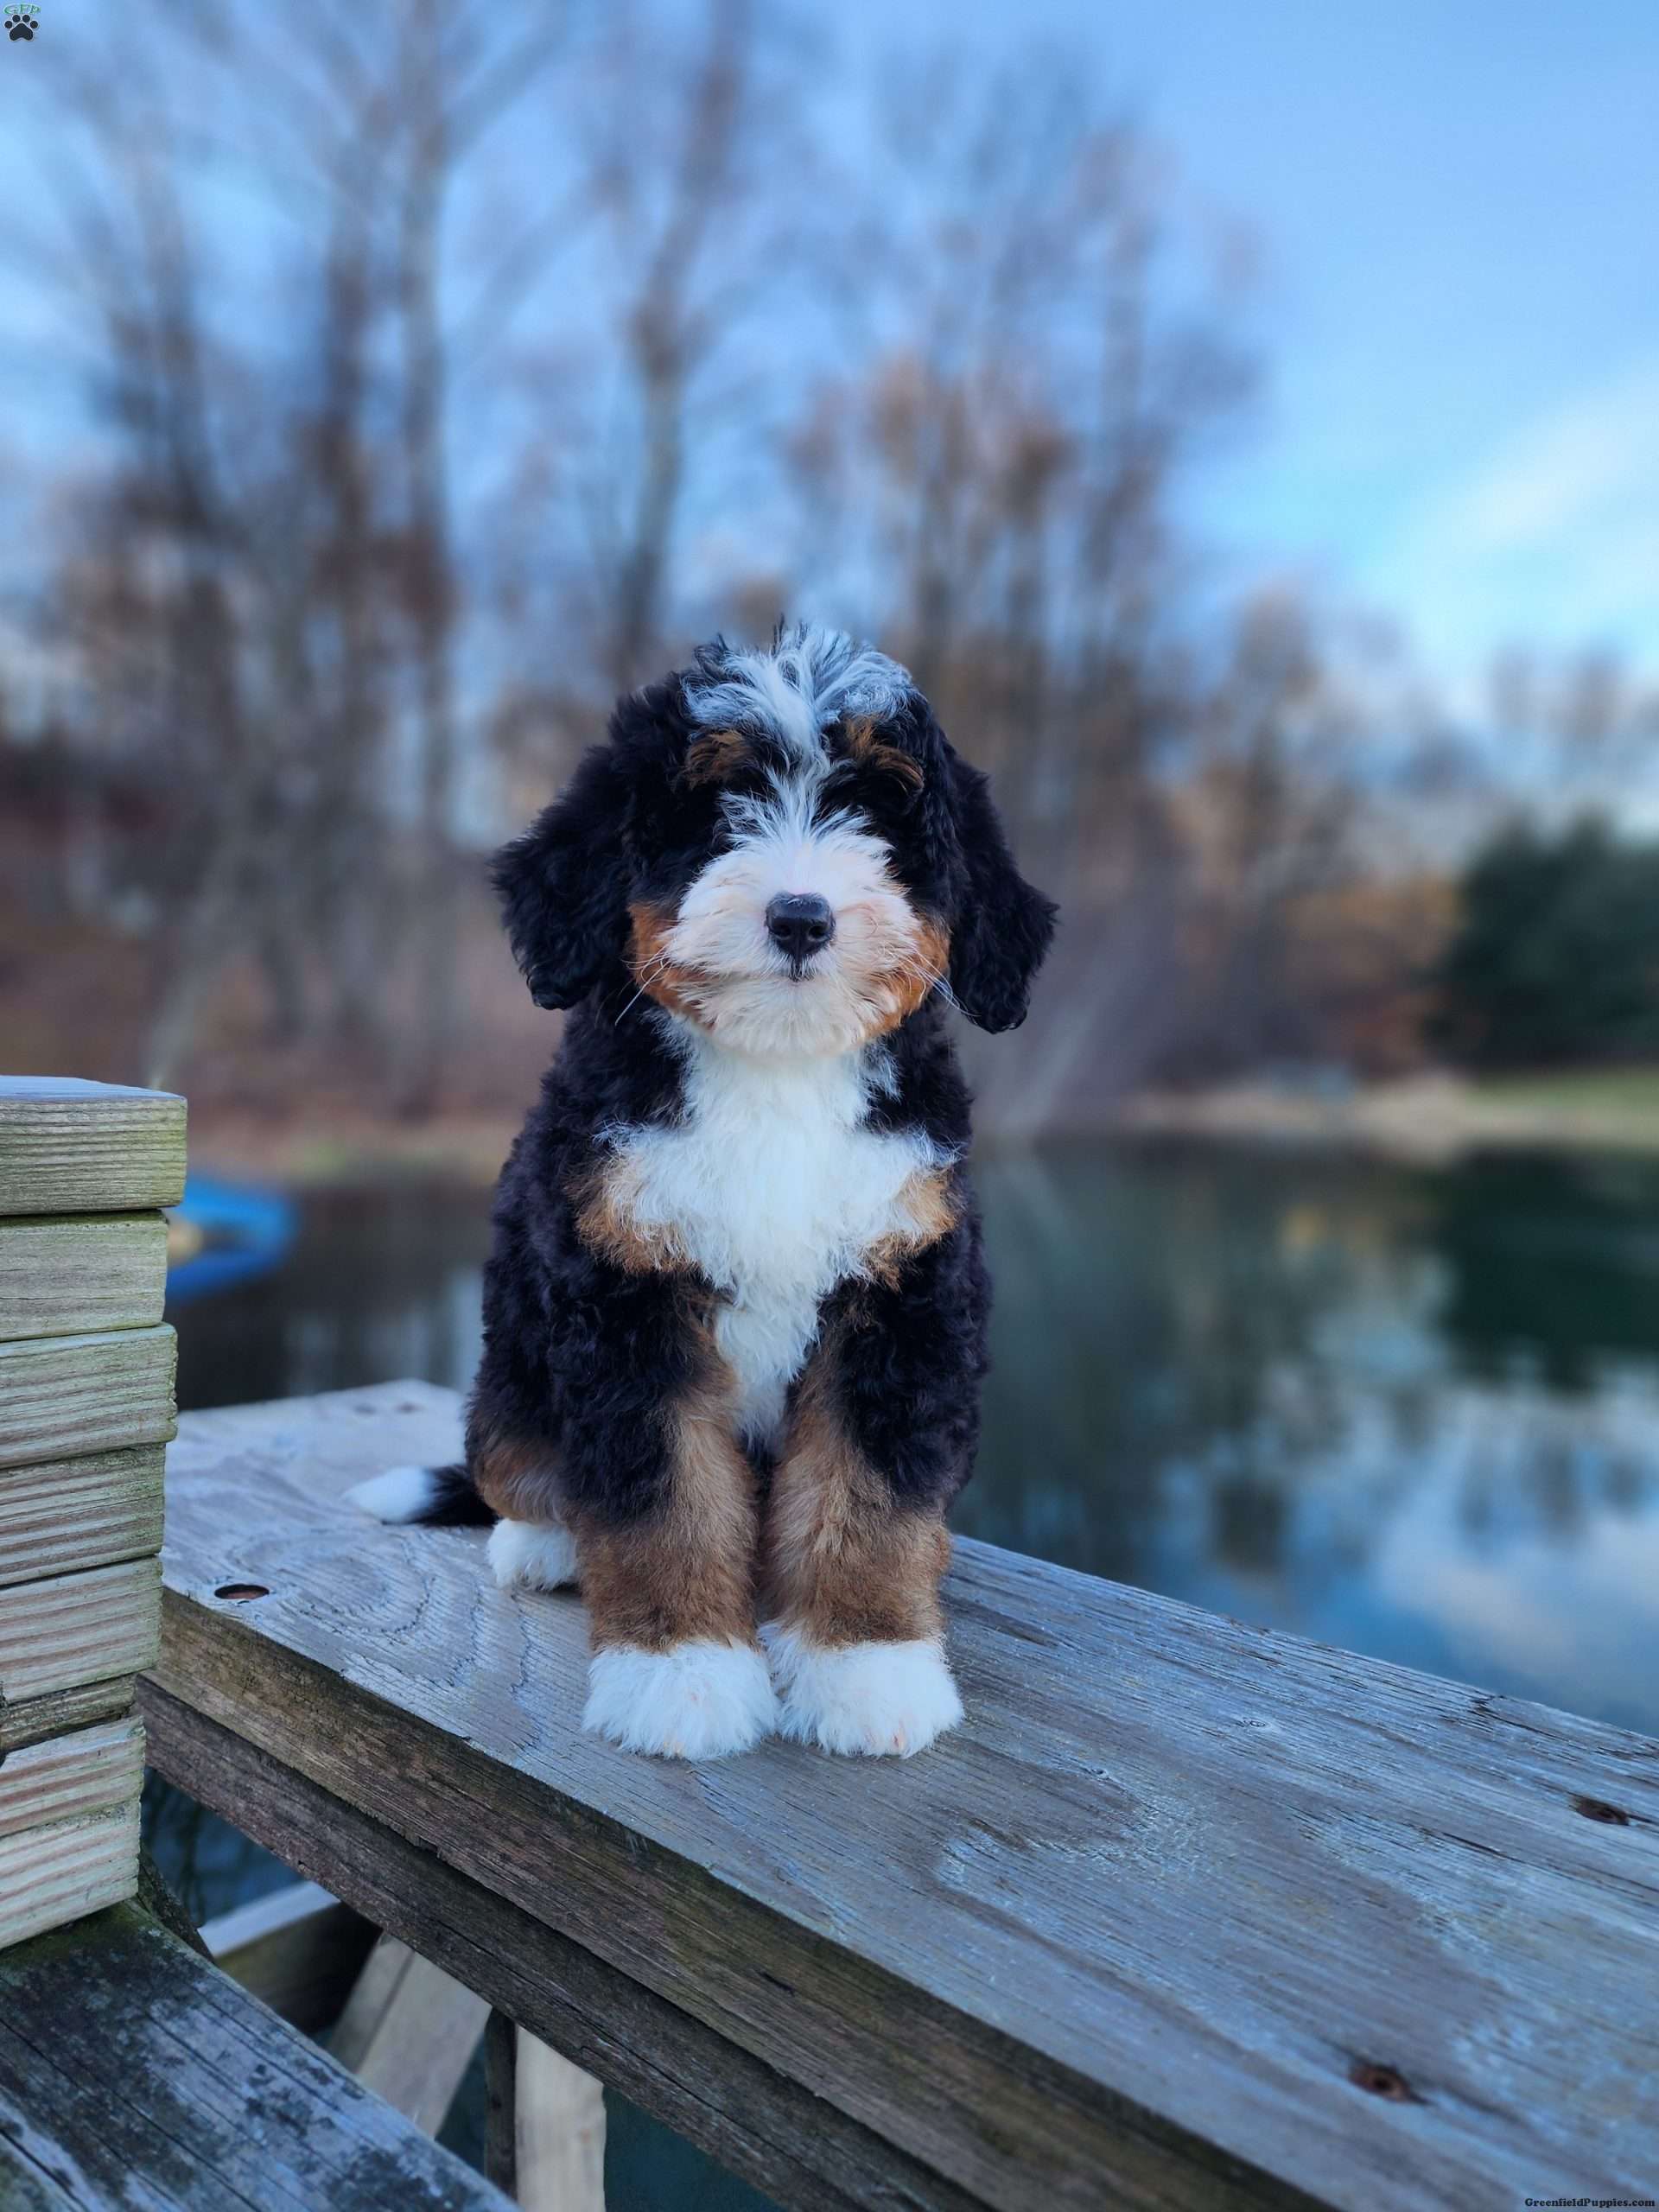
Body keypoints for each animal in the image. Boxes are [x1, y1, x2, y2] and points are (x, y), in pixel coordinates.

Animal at [352, 623, 1057, 1760]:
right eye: (720, 809)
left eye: (878, 813)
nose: (802, 917)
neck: (776, 1068)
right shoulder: (627, 1292)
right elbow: (665, 1495)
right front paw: (680, 1675)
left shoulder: (902, 1286)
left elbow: (869, 1488)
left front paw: (867, 1664)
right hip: (509, 1380)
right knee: (521, 1471)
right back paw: (545, 1545)